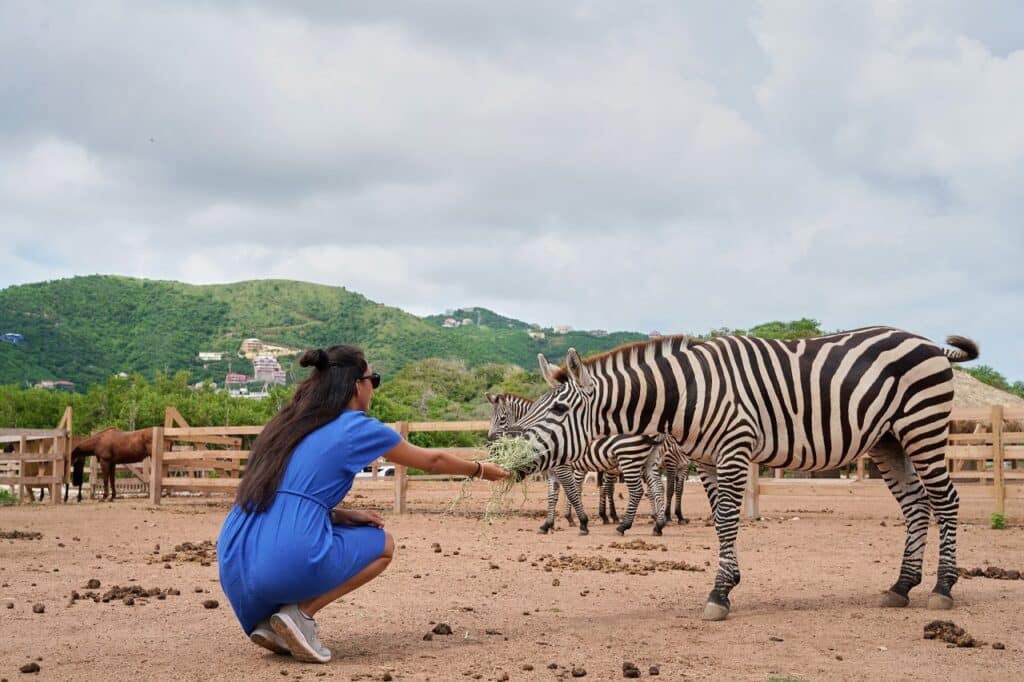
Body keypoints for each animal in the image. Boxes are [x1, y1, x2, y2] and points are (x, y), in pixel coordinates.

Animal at [487, 393, 671, 536]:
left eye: (502, 418)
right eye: (490, 419)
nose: (489, 443)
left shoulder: (562, 467)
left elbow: (571, 492)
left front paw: (582, 523)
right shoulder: (553, 470)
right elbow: (552, 496)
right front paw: (547, 524)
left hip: (629, 457)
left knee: (637, 491)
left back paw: (623, 526)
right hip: (649, 461)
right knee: (657, 488)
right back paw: (658, 525)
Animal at [507, 327, 978, 618]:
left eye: (559, 410)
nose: (514, 456)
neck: (685, 394)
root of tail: (931, 344)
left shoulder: (734, 449)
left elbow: (729, 520)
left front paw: (719, 592)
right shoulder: (708, 460)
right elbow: (720, 520)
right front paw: (729, 581)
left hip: (922, 427)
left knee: (946, 500)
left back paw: (942, 588)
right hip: (888, 441)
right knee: (916, 506)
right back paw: (901, 586)